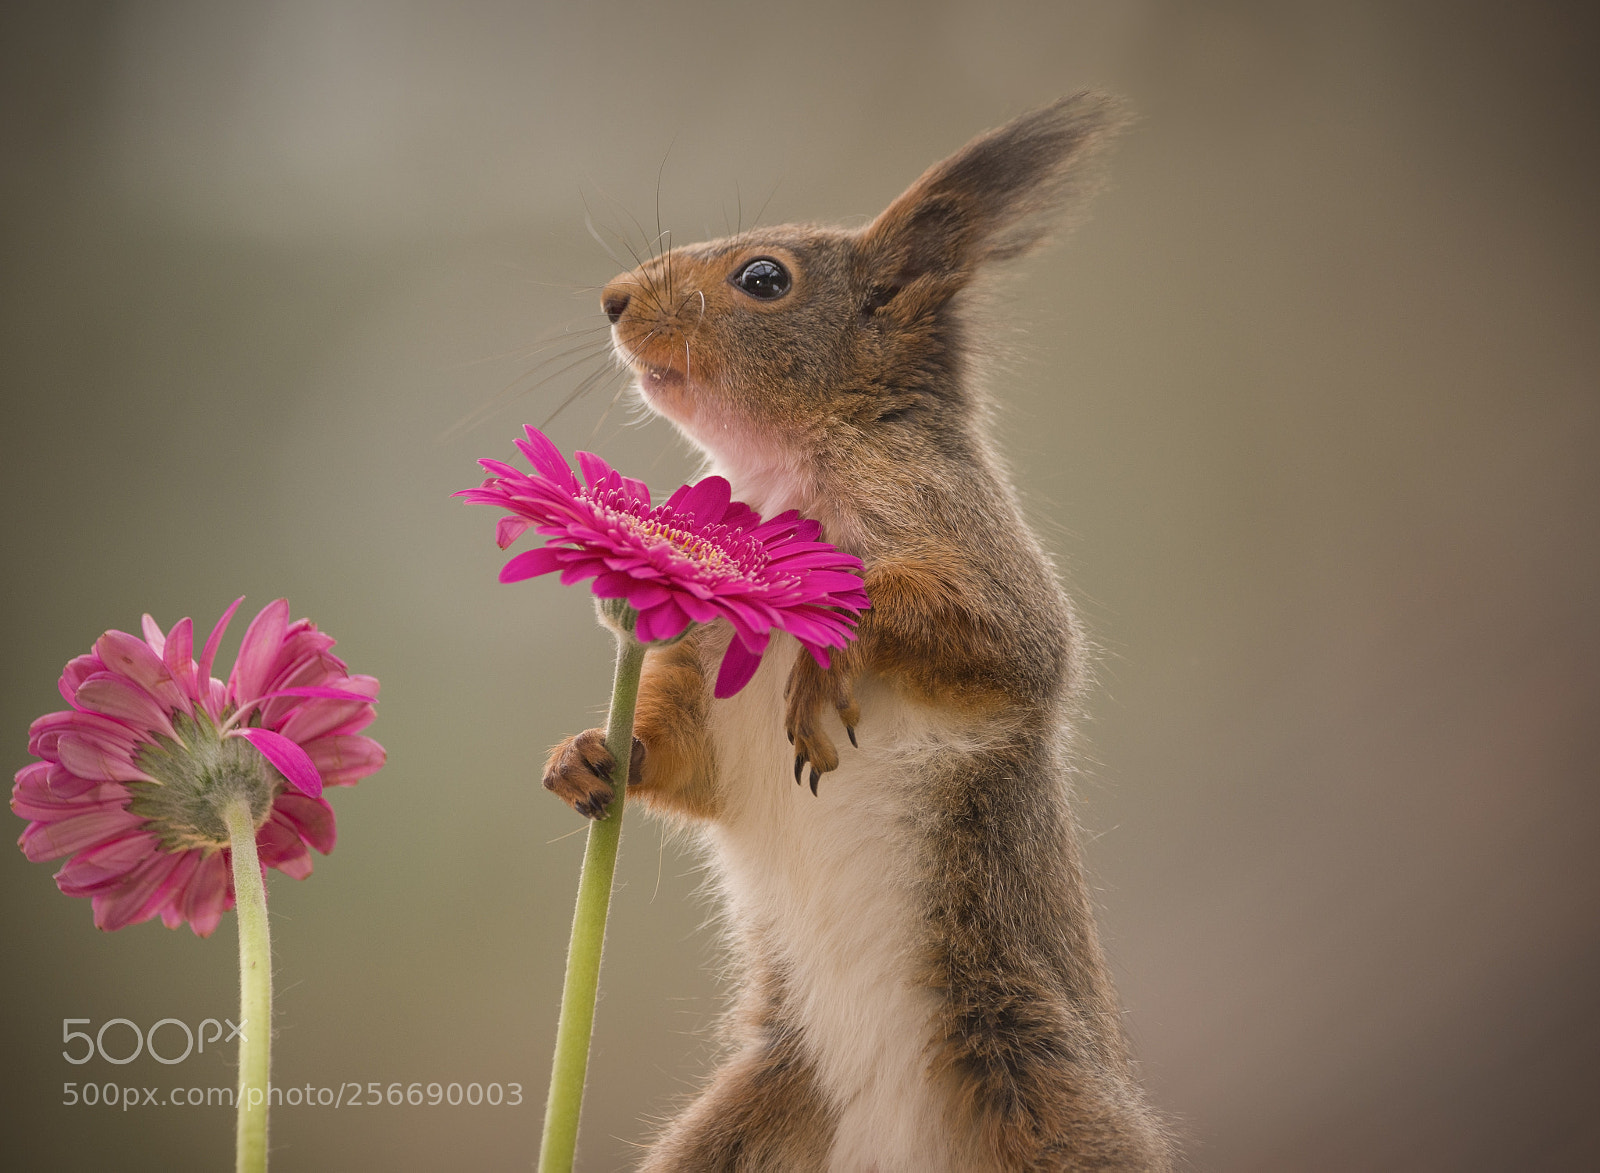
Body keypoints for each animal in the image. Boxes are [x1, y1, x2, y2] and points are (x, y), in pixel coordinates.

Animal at [542, 94, 1172, 1172]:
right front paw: (592, 754)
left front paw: (820, 671)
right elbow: (683, 757)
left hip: (1042, 1093)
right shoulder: (703, 660)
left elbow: (1006, 639)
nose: (615, 299)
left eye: (763, 279)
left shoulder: (953, 526)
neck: (783, 479)